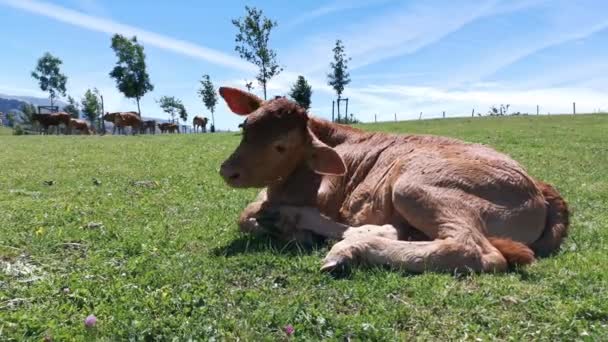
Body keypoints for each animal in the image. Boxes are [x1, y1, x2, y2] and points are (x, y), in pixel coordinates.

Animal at [216, 87, 568, 274]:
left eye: (281, 146)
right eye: (245, 126)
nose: (227, 171)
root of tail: (541, 188)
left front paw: (296, 229)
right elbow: (246, 216)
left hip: (412, 185)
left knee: (475, 251)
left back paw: (351, 249)